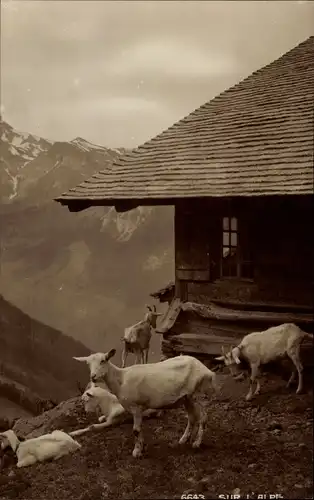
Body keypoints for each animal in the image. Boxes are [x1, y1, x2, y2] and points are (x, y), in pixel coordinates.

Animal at [73, 350, 218, 458]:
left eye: (103, 360)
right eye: (87, 363)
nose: (93, 377)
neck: (121, 379)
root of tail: (208, 371)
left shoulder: (136, 406)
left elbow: (136, 430)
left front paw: (137, 452)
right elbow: (139, 429)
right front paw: (141, 447)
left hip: (199, 394)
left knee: (203, 417)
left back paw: (197, 443)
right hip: (187, 398)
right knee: (192, 417)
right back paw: (183, 439)